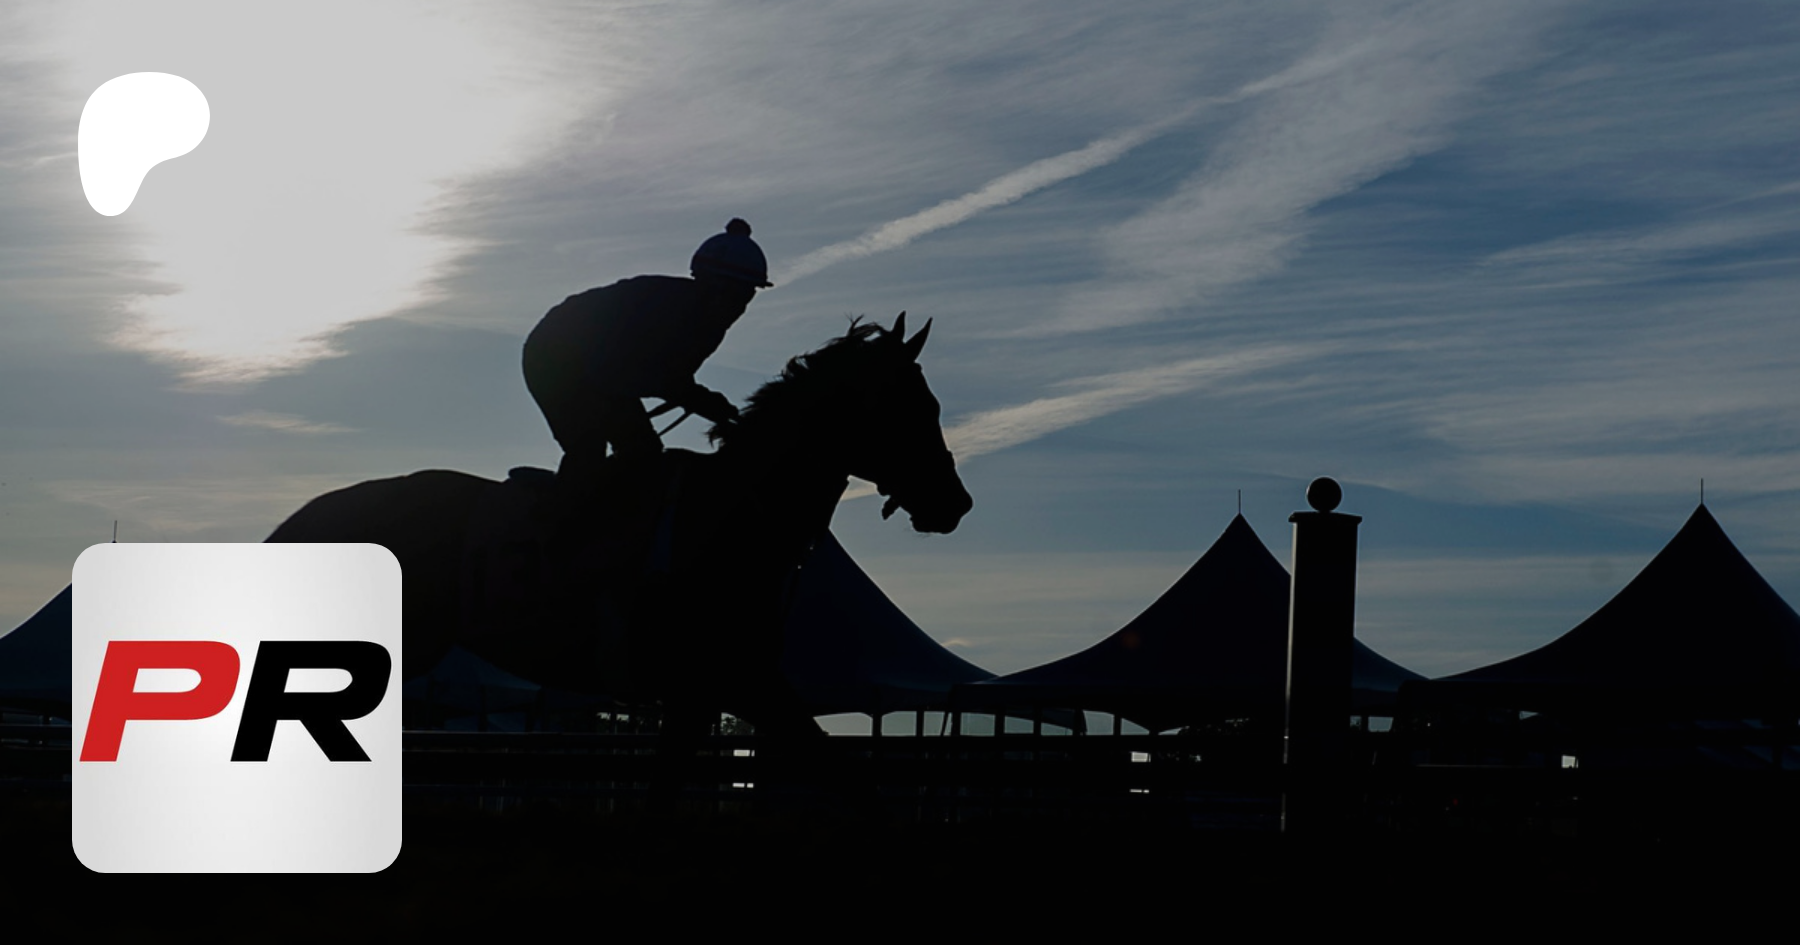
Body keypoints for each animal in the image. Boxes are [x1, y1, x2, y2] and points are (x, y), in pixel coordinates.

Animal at [265, 314, 971, 735]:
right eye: (912, 406)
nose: (955, 503)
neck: (734, 514)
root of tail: (307, 517)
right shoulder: (724, 678)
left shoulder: (716, 688)